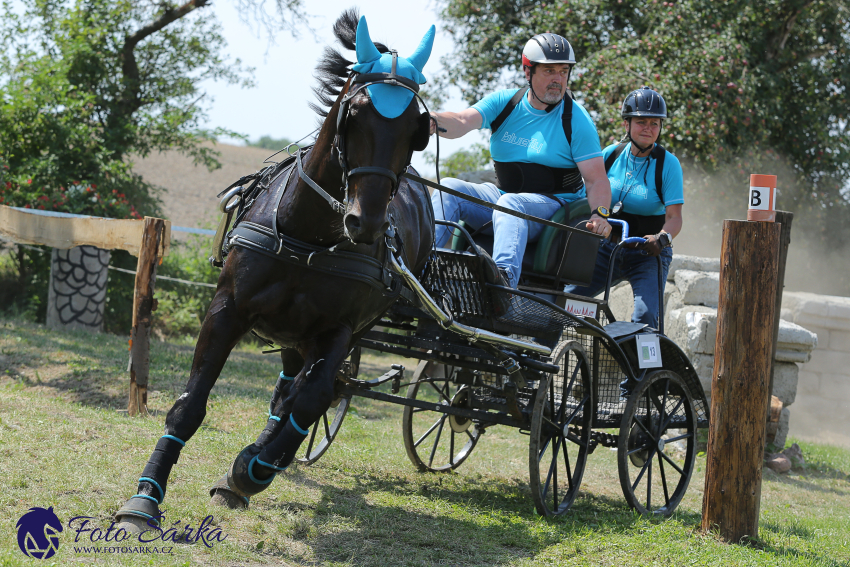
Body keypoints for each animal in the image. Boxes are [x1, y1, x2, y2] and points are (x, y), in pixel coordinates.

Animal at [116, 10, 434, 532]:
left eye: (417, 128)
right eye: (354, 113)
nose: (365, 222)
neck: (309, 232)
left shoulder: (338, 330)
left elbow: (312, 398)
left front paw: (253, 468)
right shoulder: (227, 311)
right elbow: (189, 406)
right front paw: (144, 499)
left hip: (321, 334)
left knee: (309, 394)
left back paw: (259, 462)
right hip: (289, 332)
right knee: (287, 388)